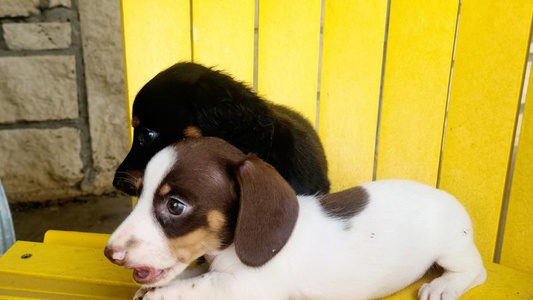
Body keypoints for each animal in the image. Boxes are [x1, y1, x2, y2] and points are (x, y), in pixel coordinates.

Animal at [105, 138, 486, 300]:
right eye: (140, 193)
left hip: (452, 249)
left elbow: (198, 286)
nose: (110, 254)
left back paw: (443, 286)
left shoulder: (248, 288)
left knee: (475, 271)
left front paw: (159, 294)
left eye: (175, 206)